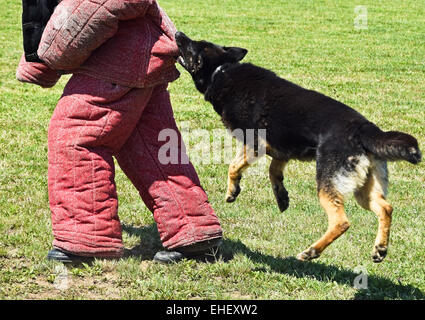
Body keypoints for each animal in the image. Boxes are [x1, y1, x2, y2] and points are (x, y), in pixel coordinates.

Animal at [174, 31, 420, 262]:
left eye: (194, 45)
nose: (178, 33)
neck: (222, 70)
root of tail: (365, 129)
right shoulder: (281, 149)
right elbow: (273, 171)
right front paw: (281, 196)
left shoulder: (254, 143)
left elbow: (234, 167)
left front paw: (232, 191)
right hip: (363, 189)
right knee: (385, 208)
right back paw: (380, 248)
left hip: (327, 183)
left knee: (341, 221)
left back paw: (311, 251)